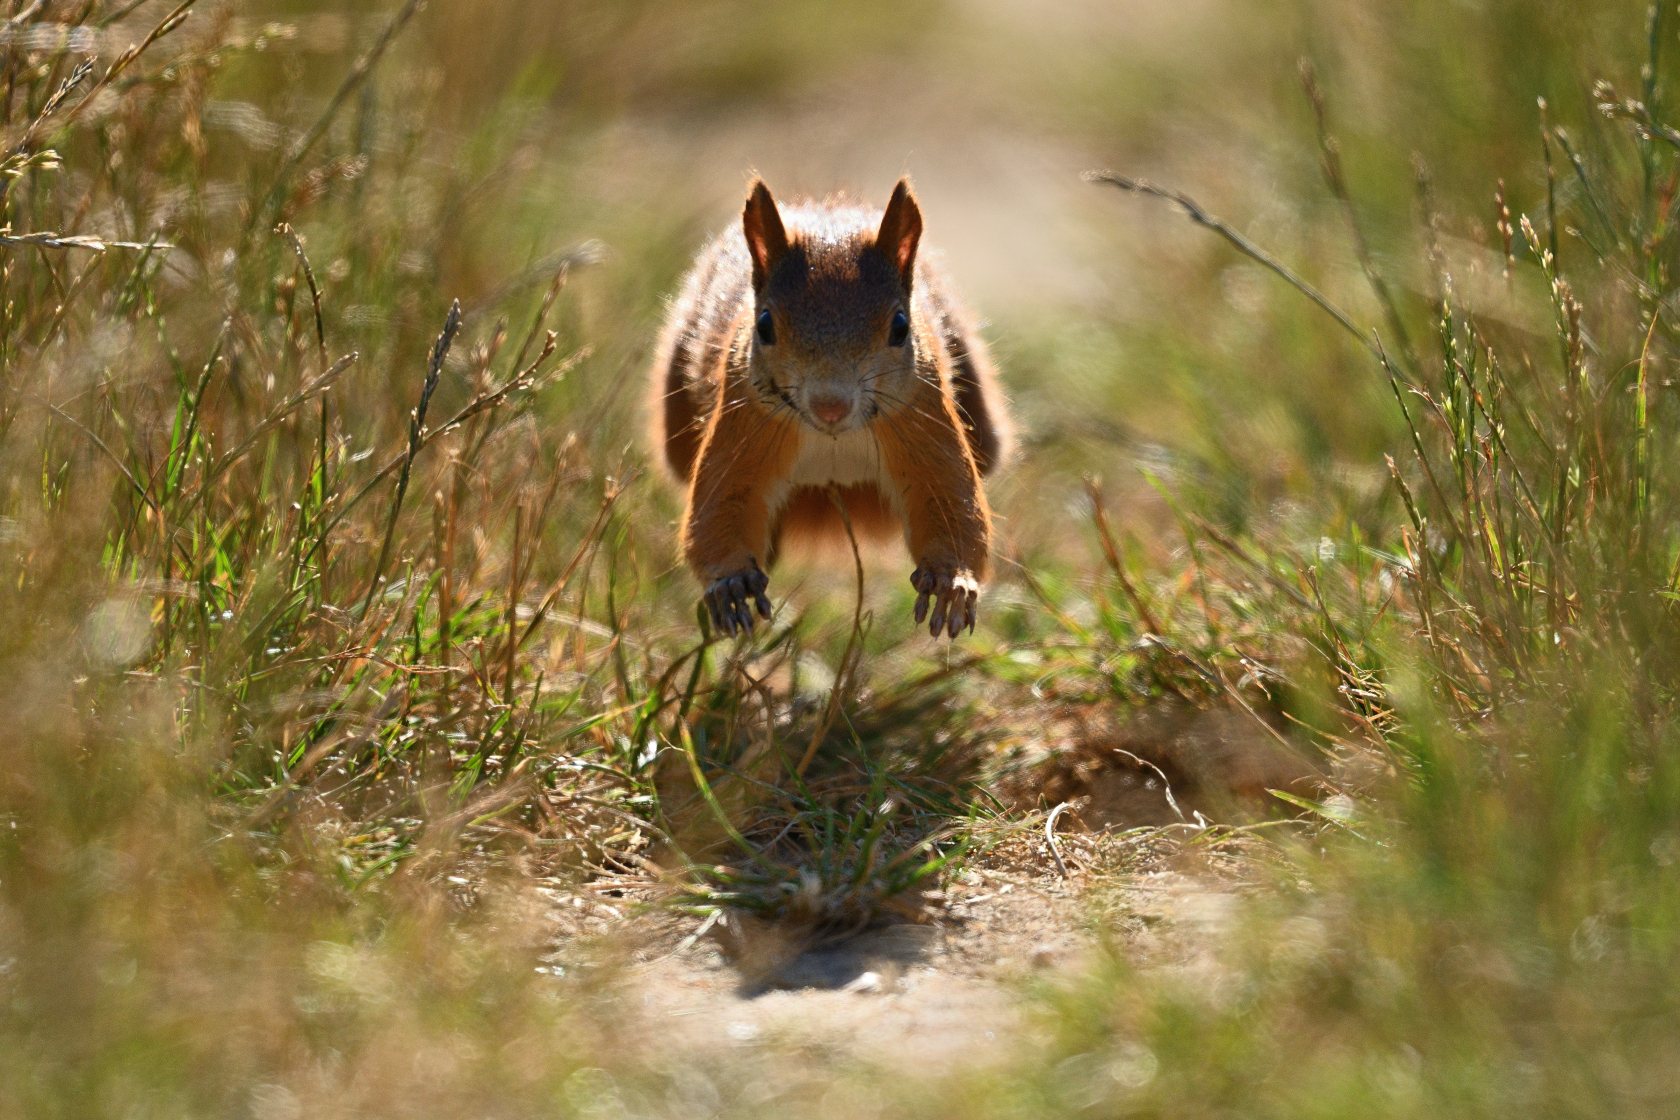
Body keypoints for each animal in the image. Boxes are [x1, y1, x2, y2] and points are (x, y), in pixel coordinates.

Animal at [648, 176, 1001, 638]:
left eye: (901, 326)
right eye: (764, 325)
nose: (830, 405)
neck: (833, 440)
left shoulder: (924, 422)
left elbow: (952, 502)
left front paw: (950, 583)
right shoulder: (741, 431)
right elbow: (717, 508)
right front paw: (731, 584)